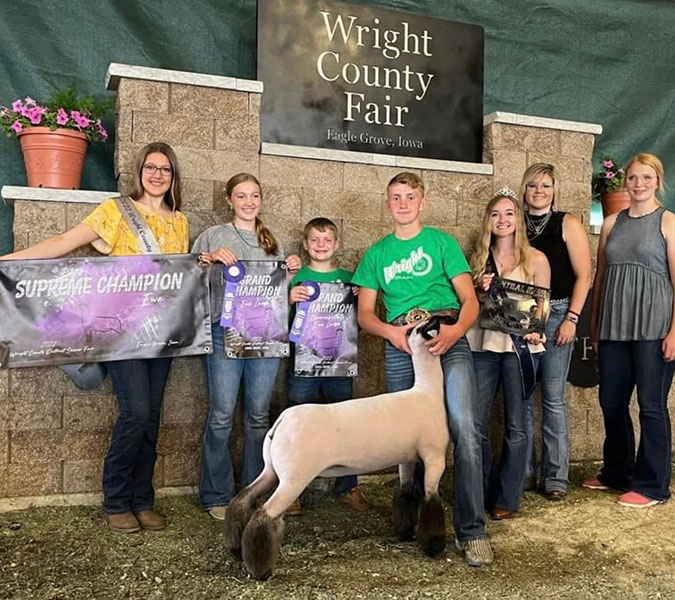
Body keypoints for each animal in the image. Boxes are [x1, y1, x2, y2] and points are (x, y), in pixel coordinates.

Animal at [224, 316, 452, 580]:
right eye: (426, 324)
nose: (447, 318)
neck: (428, 391)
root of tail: (280, 422)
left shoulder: (407, 457)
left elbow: (405, 493)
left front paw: (406, 533)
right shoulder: (434, 457)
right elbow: (431, 500)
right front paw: (434, 547)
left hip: (271, 470)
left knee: (242, 500)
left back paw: (235, 549)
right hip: (294, 478)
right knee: (264, 515)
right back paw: (261, 570)